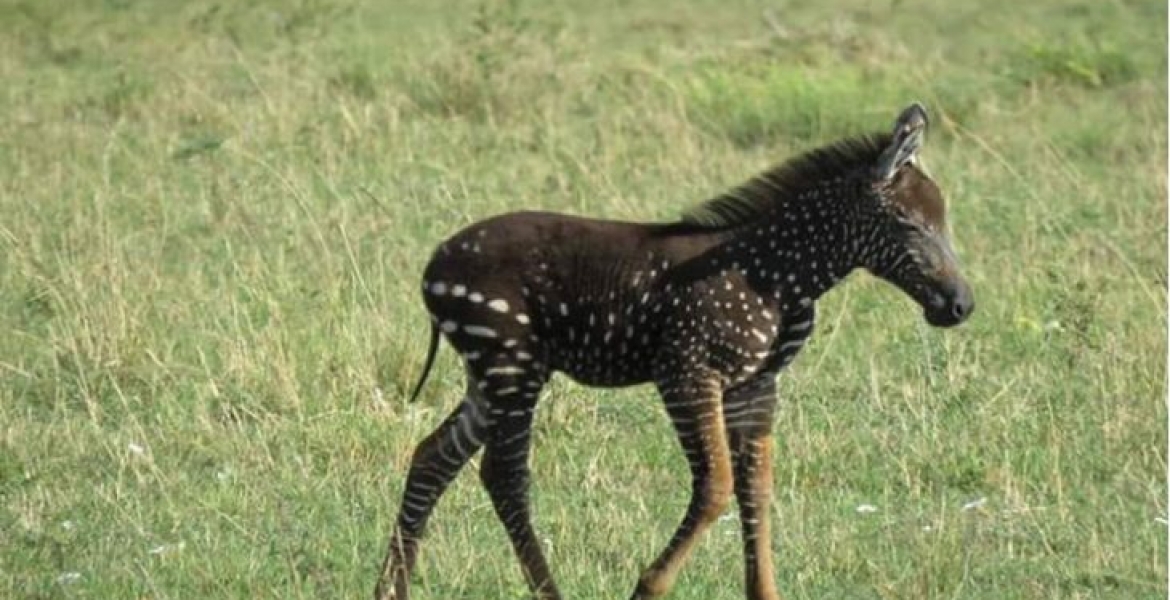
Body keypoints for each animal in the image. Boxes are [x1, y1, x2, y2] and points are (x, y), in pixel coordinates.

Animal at [375, 103, 974, 600]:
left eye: (945, 224)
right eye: (908, 225)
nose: (961, 306)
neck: (780, 275)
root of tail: (434, 264)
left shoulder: (756, 385)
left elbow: (756, 489)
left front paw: (764, 592)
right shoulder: (687, 373)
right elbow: (716, 488)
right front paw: (648, 587)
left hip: (494, 374)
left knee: (432, 457)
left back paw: (391, 590)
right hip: (510, 363)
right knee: (504, 476)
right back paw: (547, 593)